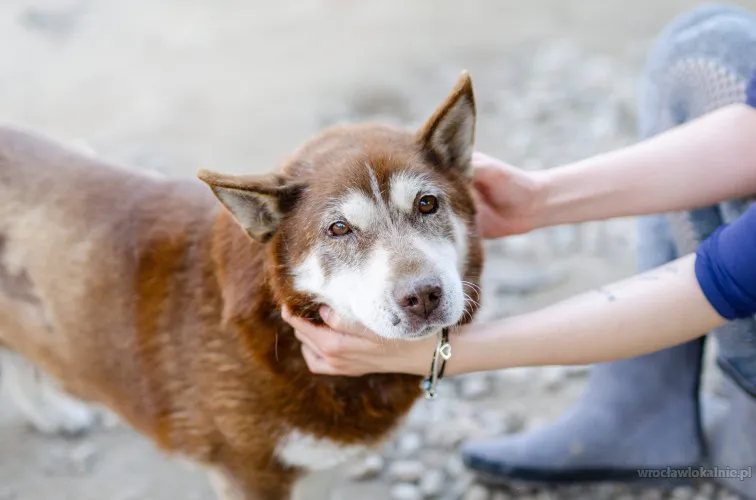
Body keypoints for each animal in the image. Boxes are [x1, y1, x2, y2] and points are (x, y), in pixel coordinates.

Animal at [0, 72, 484, 498]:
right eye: (339, 228)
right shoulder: (248, 473)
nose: (423, 295)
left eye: (427, 203)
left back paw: (51, 414)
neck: (281, 323)